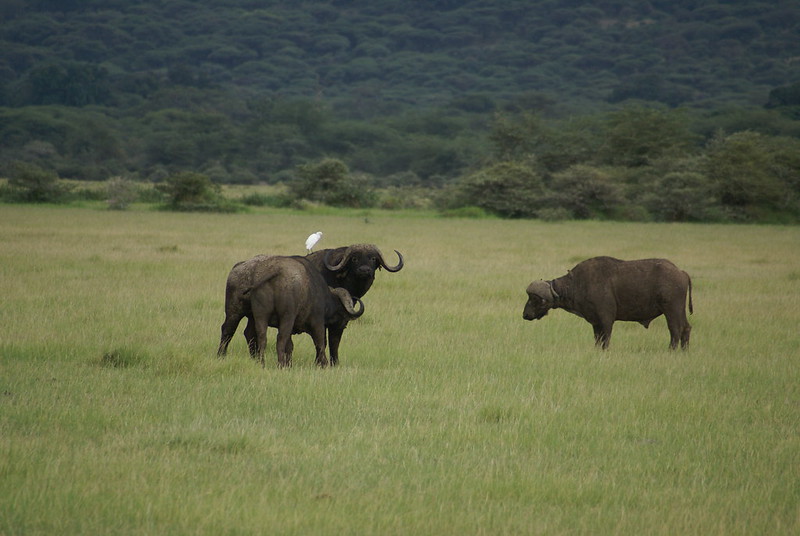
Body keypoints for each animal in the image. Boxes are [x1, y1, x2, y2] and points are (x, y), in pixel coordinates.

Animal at [217, 244, 403, 364]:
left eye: (373, 259)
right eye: (355, 259)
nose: (365, 271)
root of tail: (238, 267)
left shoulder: (338, 323)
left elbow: (334, 343)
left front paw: (335, 363)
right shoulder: (326, 321)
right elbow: (325, 342)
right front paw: (321, 363)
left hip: (253, 316)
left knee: (250, 333)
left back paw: (256, 359)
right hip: (234, 310)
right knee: (227, 330)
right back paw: (221, 355)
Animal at [523, 256, 693, 349]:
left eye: (536, 299)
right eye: (529, 297)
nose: (525, 315)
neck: (578, 283)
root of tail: (681, 272)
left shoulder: (606, 320)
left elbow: (606, 340)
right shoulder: (595, 323)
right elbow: (598, 340)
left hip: (671, 310)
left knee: (675, 330)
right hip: (680, 311)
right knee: (686, 328)